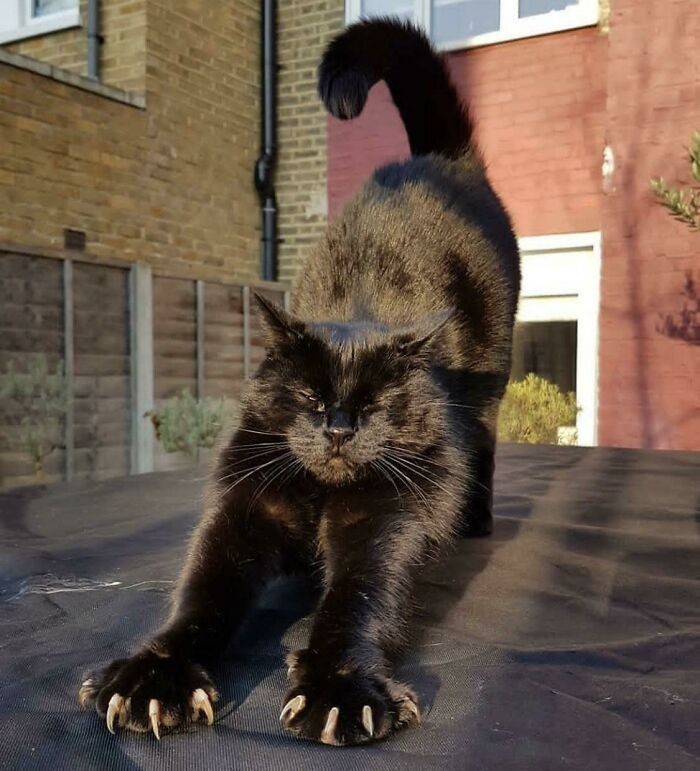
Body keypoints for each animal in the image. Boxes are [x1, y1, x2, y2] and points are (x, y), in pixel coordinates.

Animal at [79, 19, 524, 748]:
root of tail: (439, 161)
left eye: (375, 403)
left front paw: (340, 689)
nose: (338, 428)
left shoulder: (385, 520)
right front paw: (153, 676)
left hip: (492, 378)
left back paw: (474, 520)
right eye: (310, 398)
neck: (320, 494)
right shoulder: (243, 508)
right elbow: (200, 592)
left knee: (483, 447)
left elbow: (356, 598)